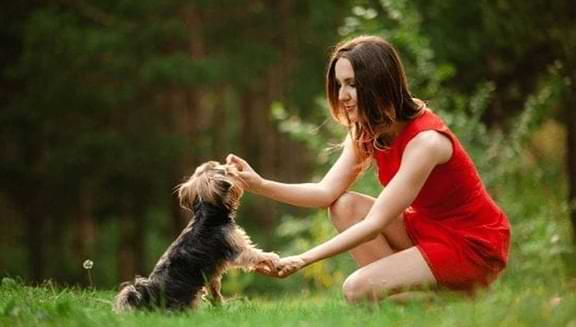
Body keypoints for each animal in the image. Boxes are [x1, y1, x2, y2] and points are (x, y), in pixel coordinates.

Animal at [113, 161, 280, 312]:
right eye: (227, 171)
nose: (232, 166)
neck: (208, 214)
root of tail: (148, 301)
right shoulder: (235, 247)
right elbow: (254, 254)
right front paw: (272, 257)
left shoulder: (211, 273)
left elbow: (214, 288)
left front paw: (219, 305)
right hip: (187, 297)